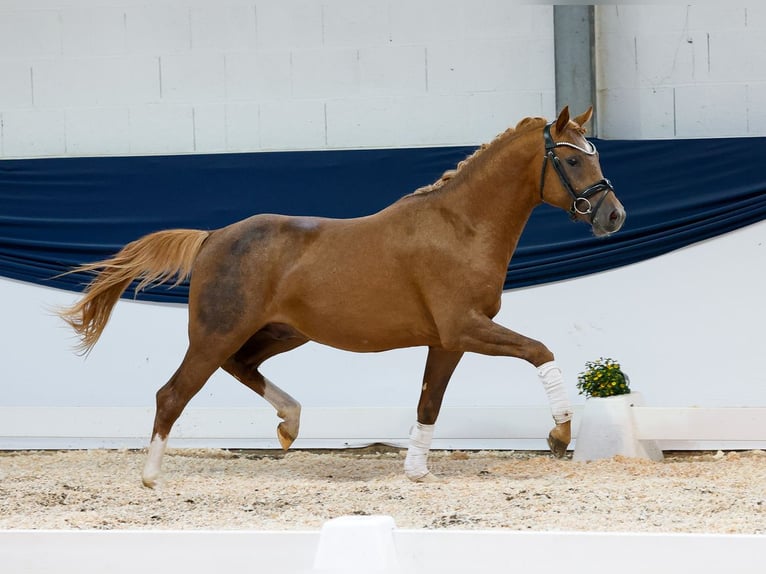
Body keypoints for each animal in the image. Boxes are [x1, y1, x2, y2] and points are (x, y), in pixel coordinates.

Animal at [58, 107, 624, 486]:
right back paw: (152, 477)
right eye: (572, 160)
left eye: (595, 157)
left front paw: (416, 471)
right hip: (216, 334)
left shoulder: (448, 340)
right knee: (172, 394)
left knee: (242, 367)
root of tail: (213, 236)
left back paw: (290, 424)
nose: (613, 215)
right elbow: (541, 351)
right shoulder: (466, 327)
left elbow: (429, 401)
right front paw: (559, 435)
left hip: (280, 333)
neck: (460, 227)